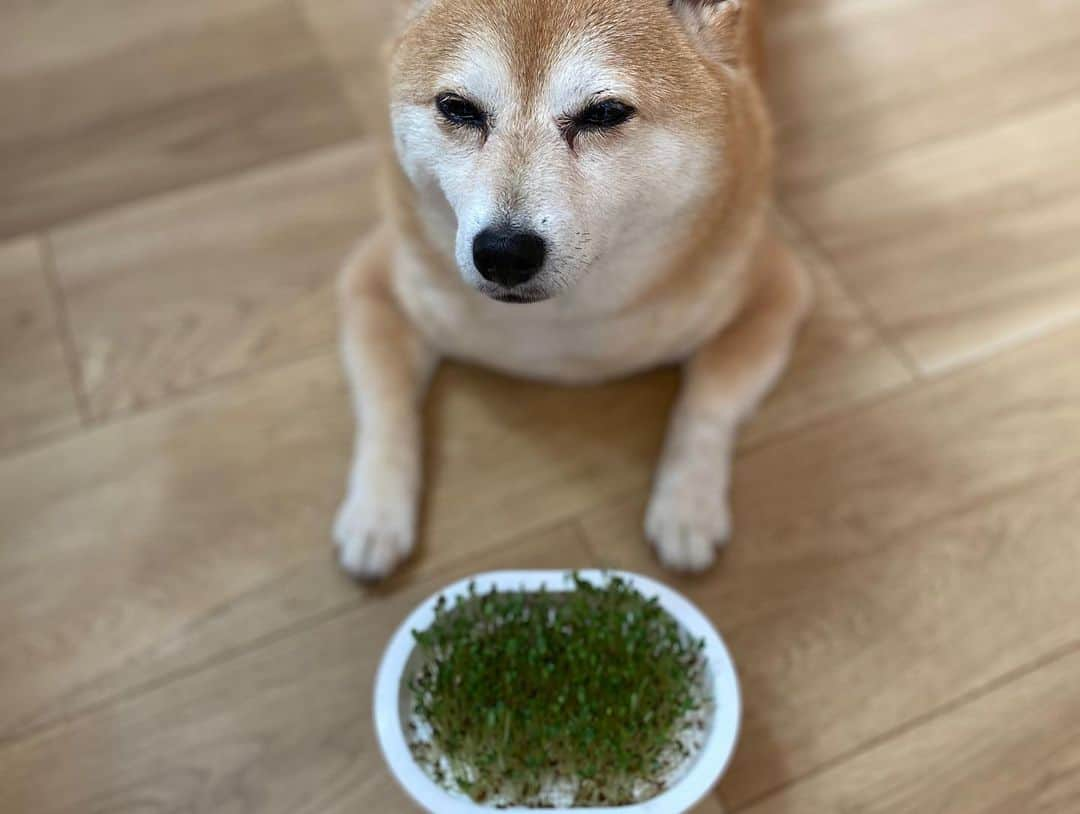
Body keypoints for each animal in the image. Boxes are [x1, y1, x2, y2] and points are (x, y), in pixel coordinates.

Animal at [334, 0, 812, 578]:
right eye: (457, 108)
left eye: (604, 114)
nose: (505, 251)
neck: (560, 321)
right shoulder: (374, 282)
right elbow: (384, 409)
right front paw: (375, 513)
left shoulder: (773, 288)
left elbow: (708, 403)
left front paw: (687, 504)